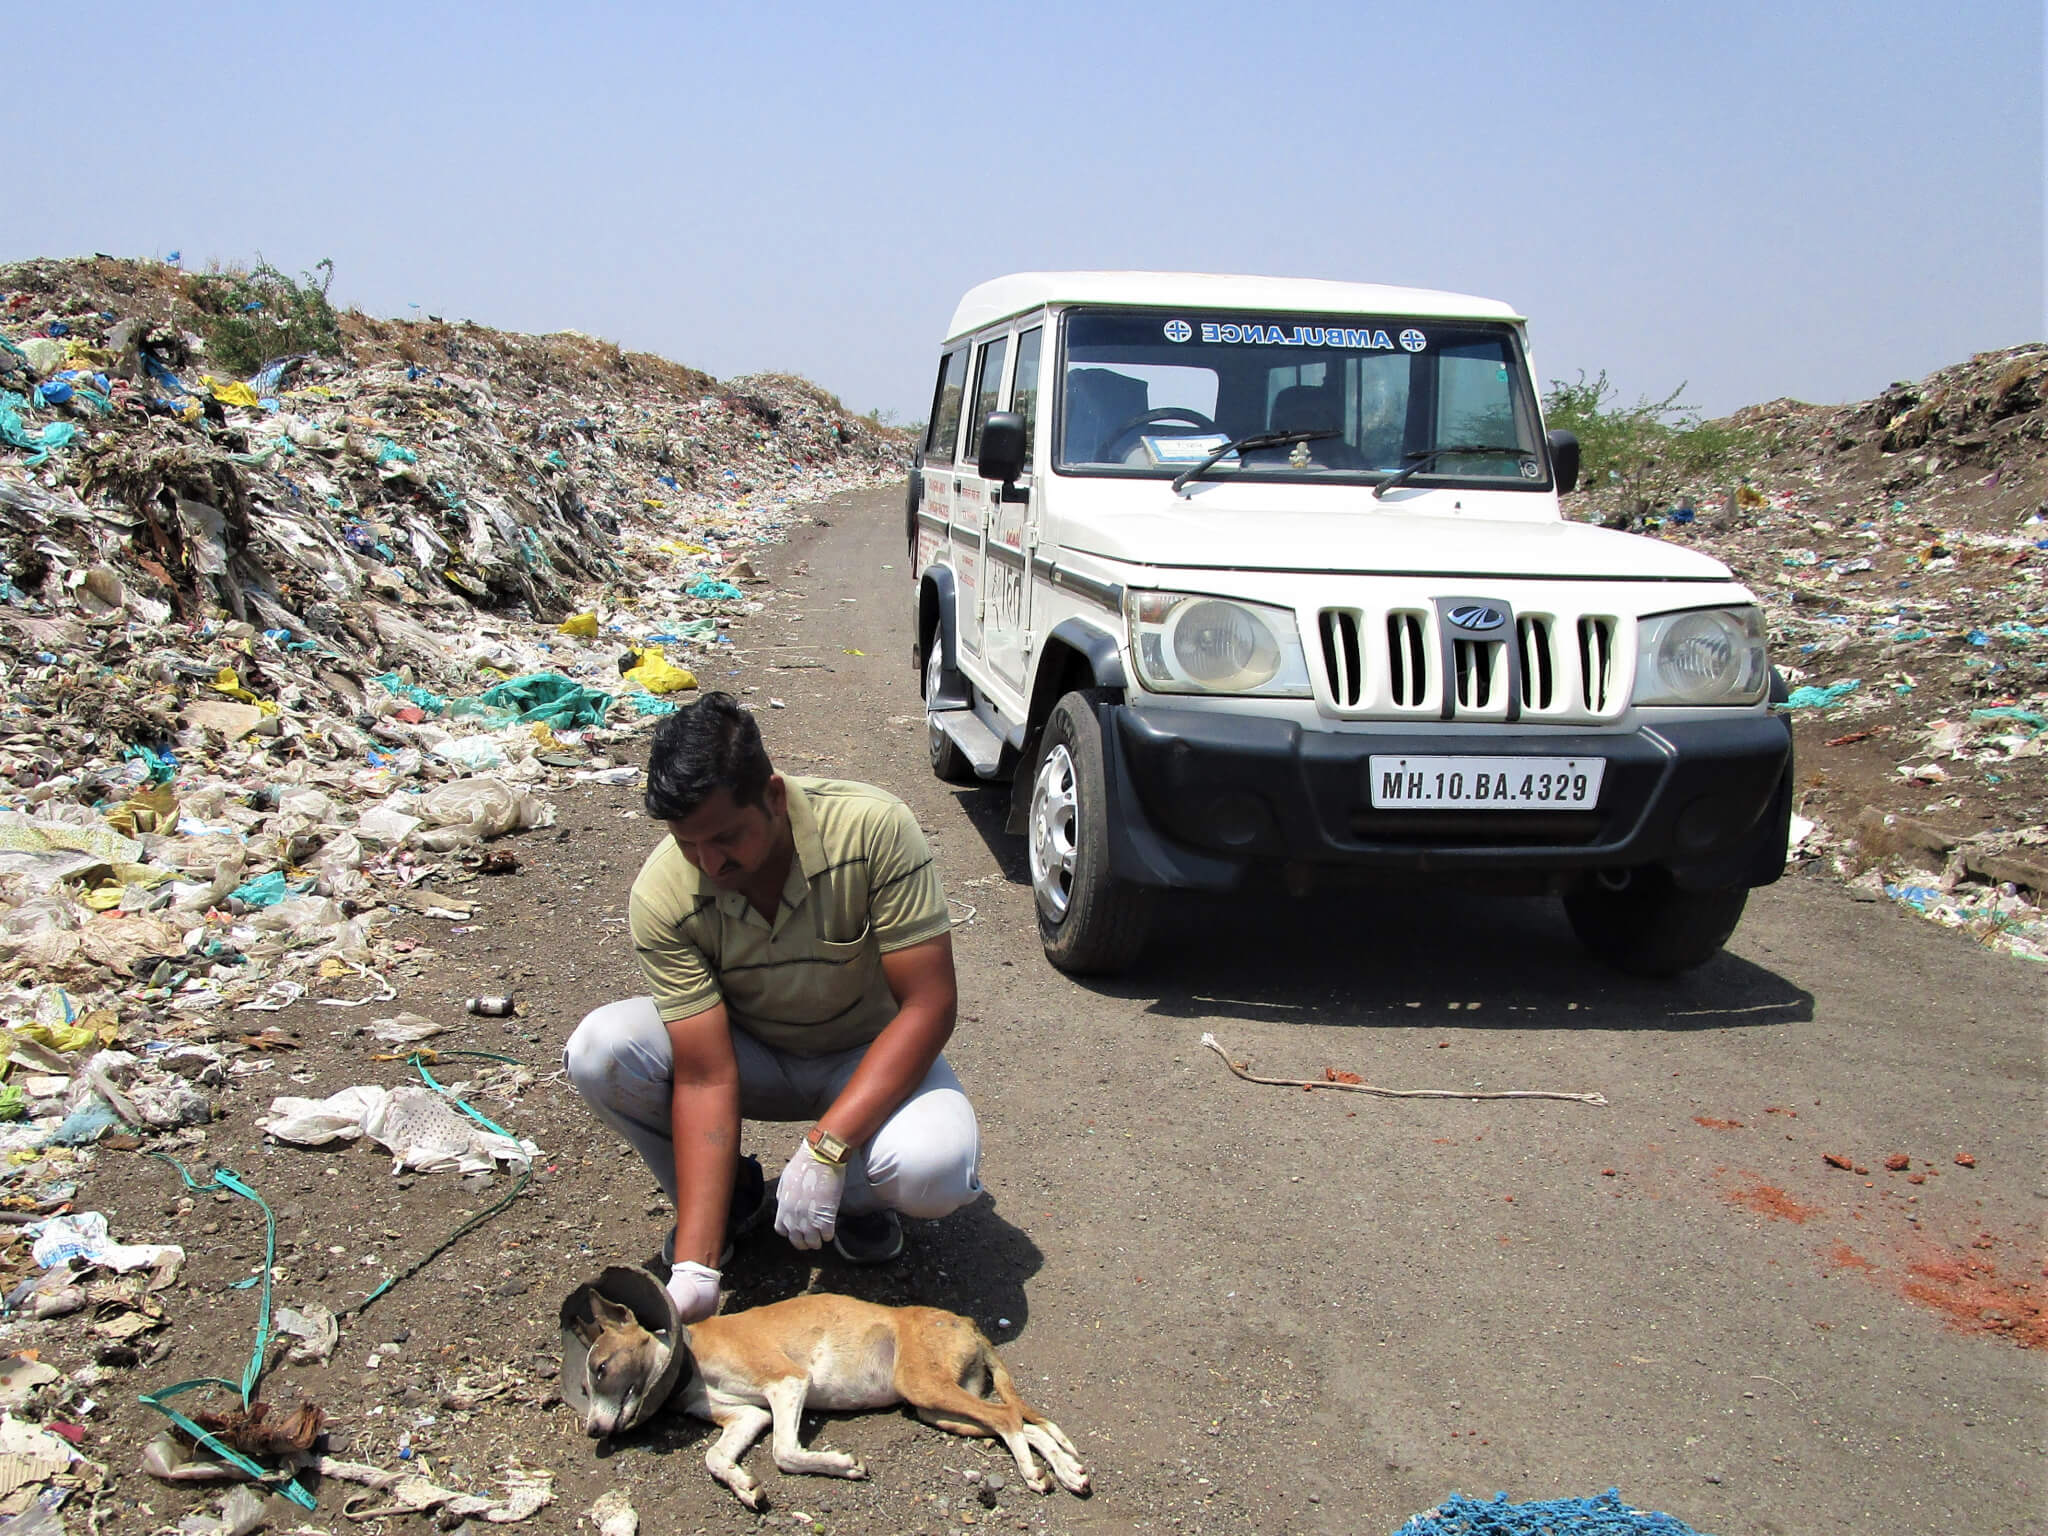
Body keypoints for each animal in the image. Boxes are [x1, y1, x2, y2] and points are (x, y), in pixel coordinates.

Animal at [577, 1286, 1089, 1515]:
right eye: (584, 1388)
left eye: (600, 1368)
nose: (594, 1432)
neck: (688, 1359)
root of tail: (966, 1321)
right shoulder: (749, 1417)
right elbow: (715, 1458)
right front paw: (744, 1485)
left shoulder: (788, 1382)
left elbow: (785, 1452)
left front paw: (842, 1464)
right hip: (939, 1407)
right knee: (1025, 1423)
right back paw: (1067, 1470)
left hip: (927, 1388)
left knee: (1009, 1418)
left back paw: (1034, 1474)